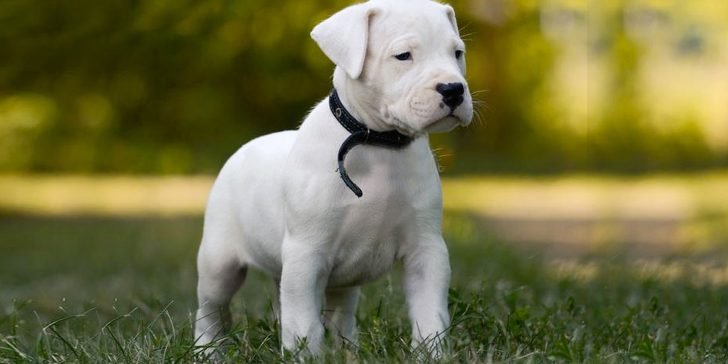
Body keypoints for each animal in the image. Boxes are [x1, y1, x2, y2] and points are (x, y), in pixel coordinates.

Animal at [196, 0, 474, 356]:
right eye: (403, 56)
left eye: (457, 53)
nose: (453, 90)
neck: (377, 143)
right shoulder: (306, 255)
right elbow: (304, 323)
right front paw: (305, 357)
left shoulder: (426, 251)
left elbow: (430, 315)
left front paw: (432, 353)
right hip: (220, 264)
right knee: (210, 311)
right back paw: (206, 350)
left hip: (338, 283)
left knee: (339, 314)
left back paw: (349, 350)